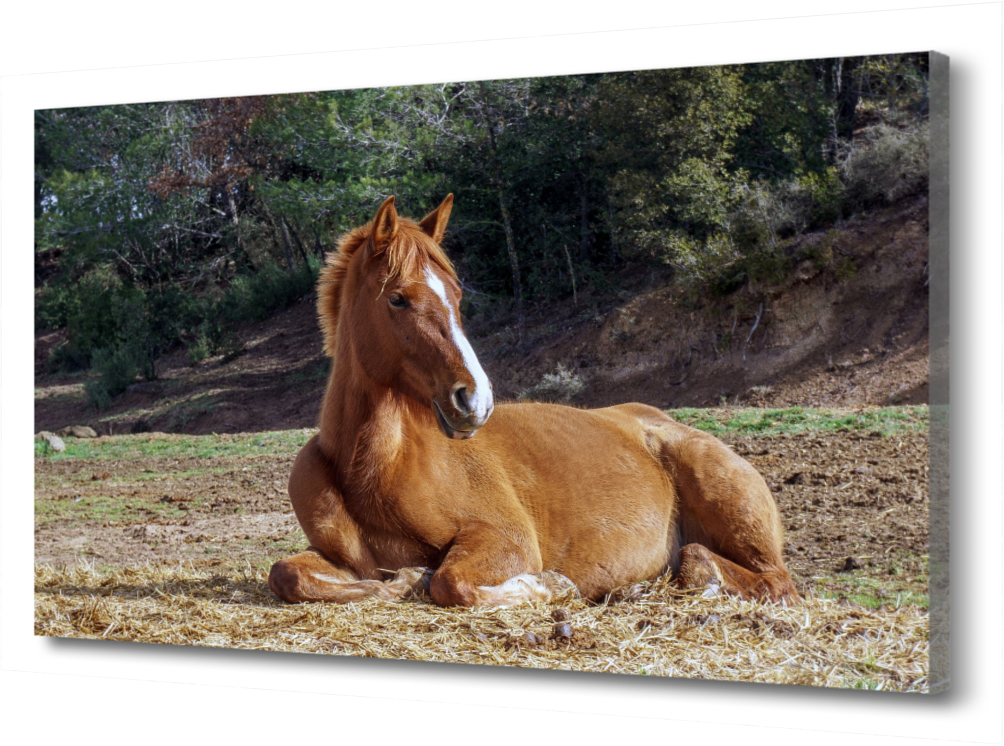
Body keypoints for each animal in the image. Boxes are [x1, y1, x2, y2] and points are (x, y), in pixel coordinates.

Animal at [269, 196, 799, 606]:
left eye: (457, 295)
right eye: (397, 298)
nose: (475, 400)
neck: (377, 468)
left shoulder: (505, 539)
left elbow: (451, 583)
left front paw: (551, 586)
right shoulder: (341, 560)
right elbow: (287, 573)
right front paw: (401, 580)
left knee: (766, 579)